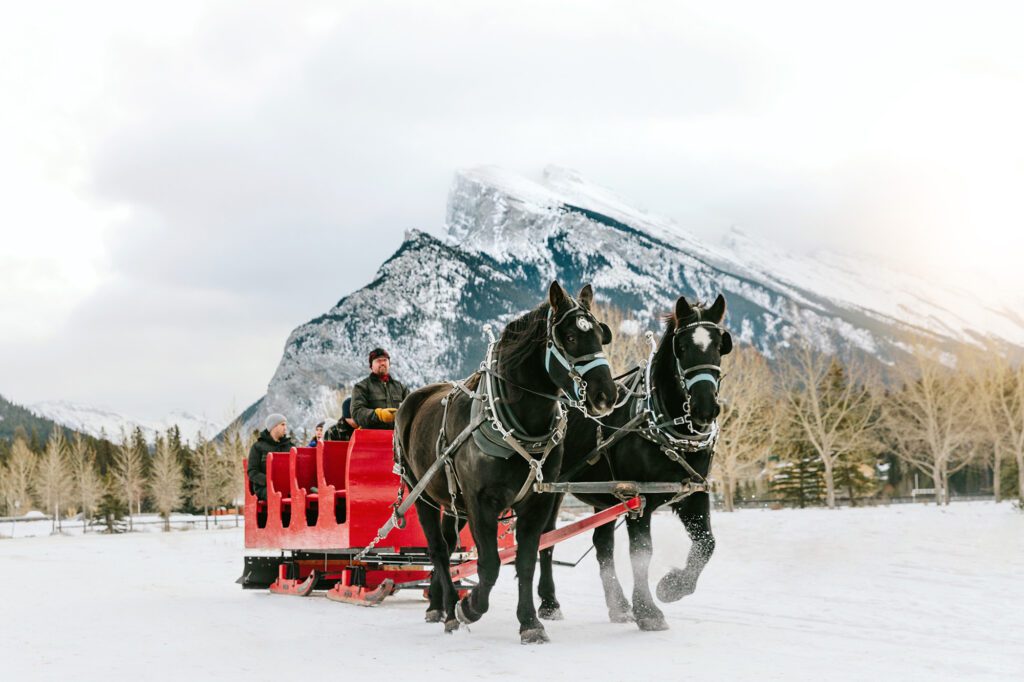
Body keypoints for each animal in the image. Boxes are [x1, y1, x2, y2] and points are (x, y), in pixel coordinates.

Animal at [394, 281, 619, 644]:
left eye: (600, 333)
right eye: (570, 336)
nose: (605, 396)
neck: (519, 423)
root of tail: (410, 401)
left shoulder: (537, 502)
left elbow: (526, 561)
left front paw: (530, 622)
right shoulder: (481, 502)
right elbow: (490, 565)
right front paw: (470, 606)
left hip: (453, 503)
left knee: (450, 544)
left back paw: (439, 603)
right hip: (421, 494)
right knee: (439, 550)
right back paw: (450, 609)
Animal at [536, 293, 732, 631]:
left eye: (720, 345)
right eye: (682, 347)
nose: (705, 408)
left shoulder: (693, 494)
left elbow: (707, 543)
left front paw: (672, 587)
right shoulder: (638, 497)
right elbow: (641, 552)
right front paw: (648, 611)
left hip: (604, 497)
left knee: (602, 544)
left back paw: (618, 606)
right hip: (550, 492)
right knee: (545, 540)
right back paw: (549, 603)